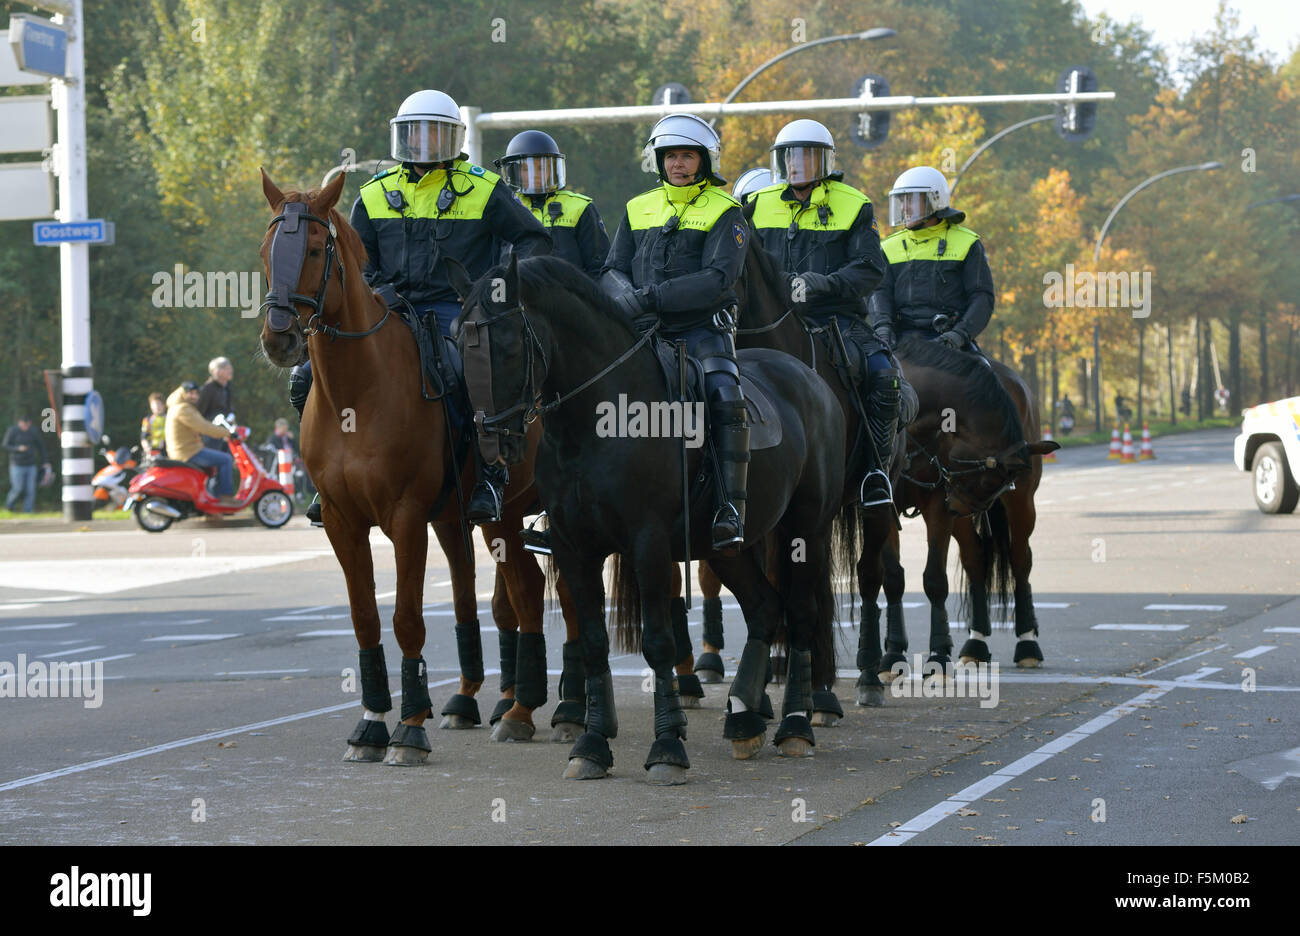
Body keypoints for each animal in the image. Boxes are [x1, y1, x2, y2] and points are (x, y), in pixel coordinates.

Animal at [256, 170, 582, 769]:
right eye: (267, 252)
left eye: (313, 250)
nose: (279, 337)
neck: (356, 394)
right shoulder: (342, 521)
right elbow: (365, 617)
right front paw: (371, 723)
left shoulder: (405, 517)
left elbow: (407, 616)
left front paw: (408, 728)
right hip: (477, 520)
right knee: (508, 597)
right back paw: (507, 704)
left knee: (551, 595)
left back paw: (562, 708)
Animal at [452, 253, 847, 780]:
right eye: (459, 343)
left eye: (511, 344)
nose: (494, 445)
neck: (598, 424)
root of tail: (809, 378)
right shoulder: (575, 549)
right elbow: (593, 641)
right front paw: (592, 744)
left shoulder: (649, 545)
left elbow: (659, 642)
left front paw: (667, 747)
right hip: (727, 547)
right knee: (765, 607)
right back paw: (743, 719)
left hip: (806, 530)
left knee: (801, 613)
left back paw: (796, 725)